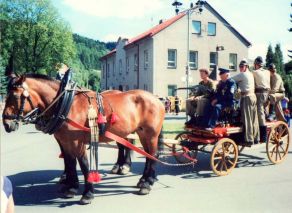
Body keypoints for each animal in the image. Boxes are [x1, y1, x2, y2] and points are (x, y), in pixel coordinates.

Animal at [2, 72, 165, 205]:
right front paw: (71, 186)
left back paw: (146, 183)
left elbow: (84, 164)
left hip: (150, 134)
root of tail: (157, 99)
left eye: (15, 96)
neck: (66, 104)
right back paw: (143, 179)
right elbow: (70, 161)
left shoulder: (77, 141)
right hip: (140, 133)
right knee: (146, 154)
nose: (6, 124)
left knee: (153, 154)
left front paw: (87, 194)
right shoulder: (65, 140)